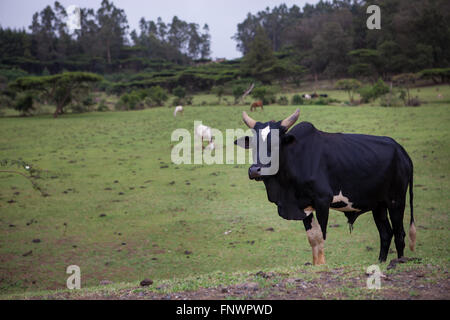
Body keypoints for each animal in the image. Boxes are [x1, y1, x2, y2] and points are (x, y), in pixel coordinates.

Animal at [234, 110, 416, 264]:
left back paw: (399, 261)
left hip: (396, 201)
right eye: (254, 144)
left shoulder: (323, 201)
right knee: (386, 234)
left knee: (399, 234)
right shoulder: (303, 205)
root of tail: (401, 151)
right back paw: (381, 263)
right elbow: (313, 239)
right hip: (378, 205)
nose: (255, 170)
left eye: (276, 143)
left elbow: (321, 236)